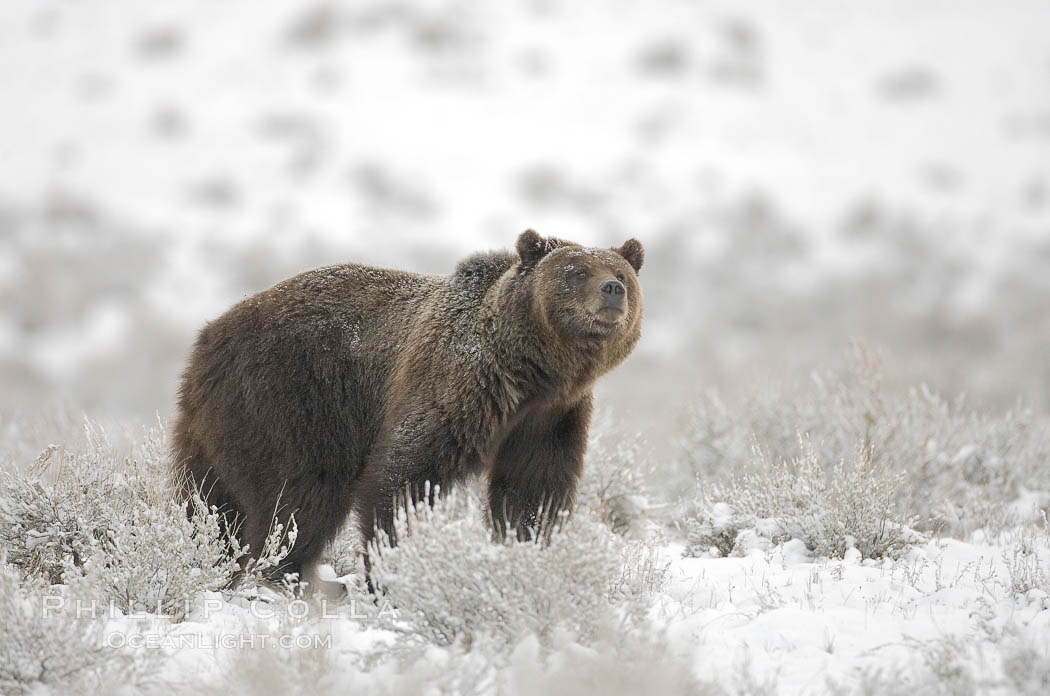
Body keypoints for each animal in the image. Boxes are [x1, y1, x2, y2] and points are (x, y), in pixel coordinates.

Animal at [172, 228, 642, 592]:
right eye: (576, 271)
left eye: (621, 273)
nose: (613, 290)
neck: (530, 373)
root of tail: (208, 336)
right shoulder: (458, 383)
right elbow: (404, 476)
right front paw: (396, 572)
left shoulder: (551, 417)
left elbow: (535, 491)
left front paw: (528, 550)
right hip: (292, 397)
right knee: (300, 496)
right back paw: (285, 573)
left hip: (220, 423)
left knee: (210, 497)